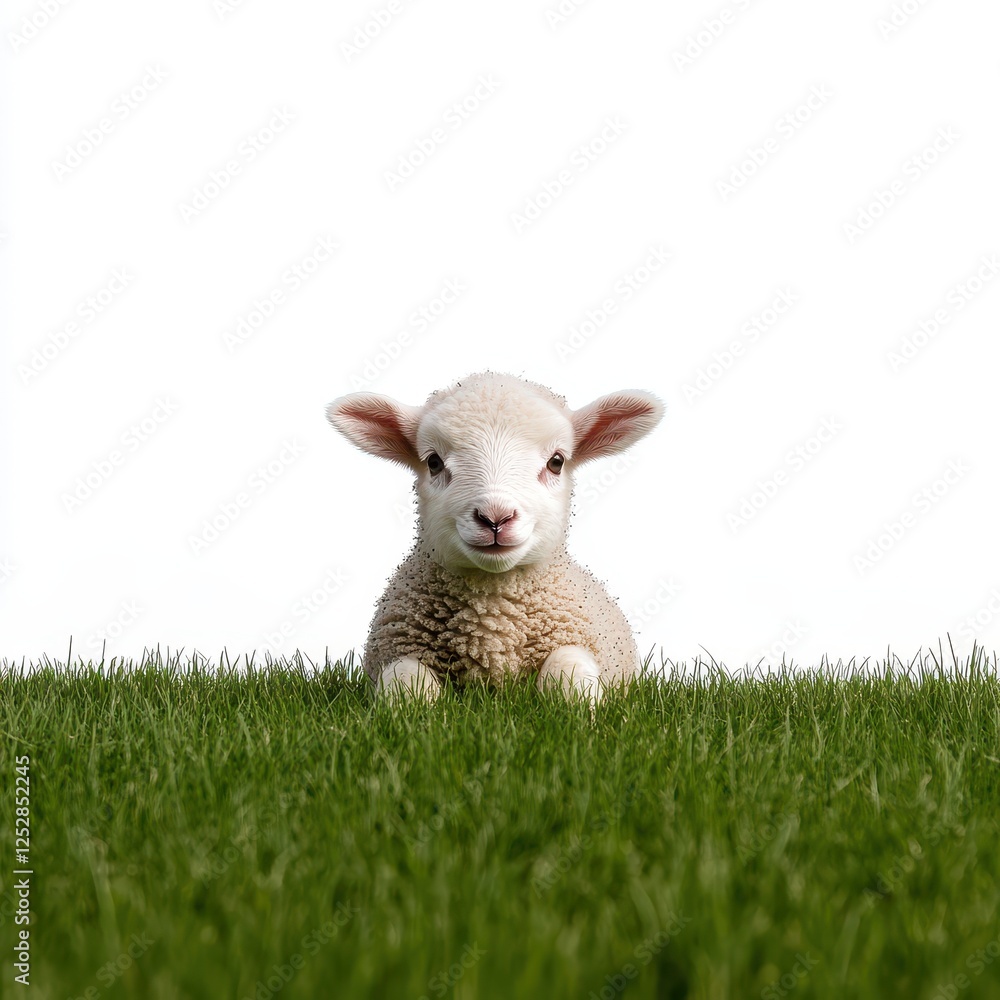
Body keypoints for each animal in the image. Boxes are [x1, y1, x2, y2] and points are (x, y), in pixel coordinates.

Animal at [326, 372, 663, 701]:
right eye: (433, 462)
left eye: (556, 462)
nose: (495, 518)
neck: (492, 622)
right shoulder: (399, 649)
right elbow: (407, 685)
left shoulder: (579, 642)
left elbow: (568, 673)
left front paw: (581, 706)